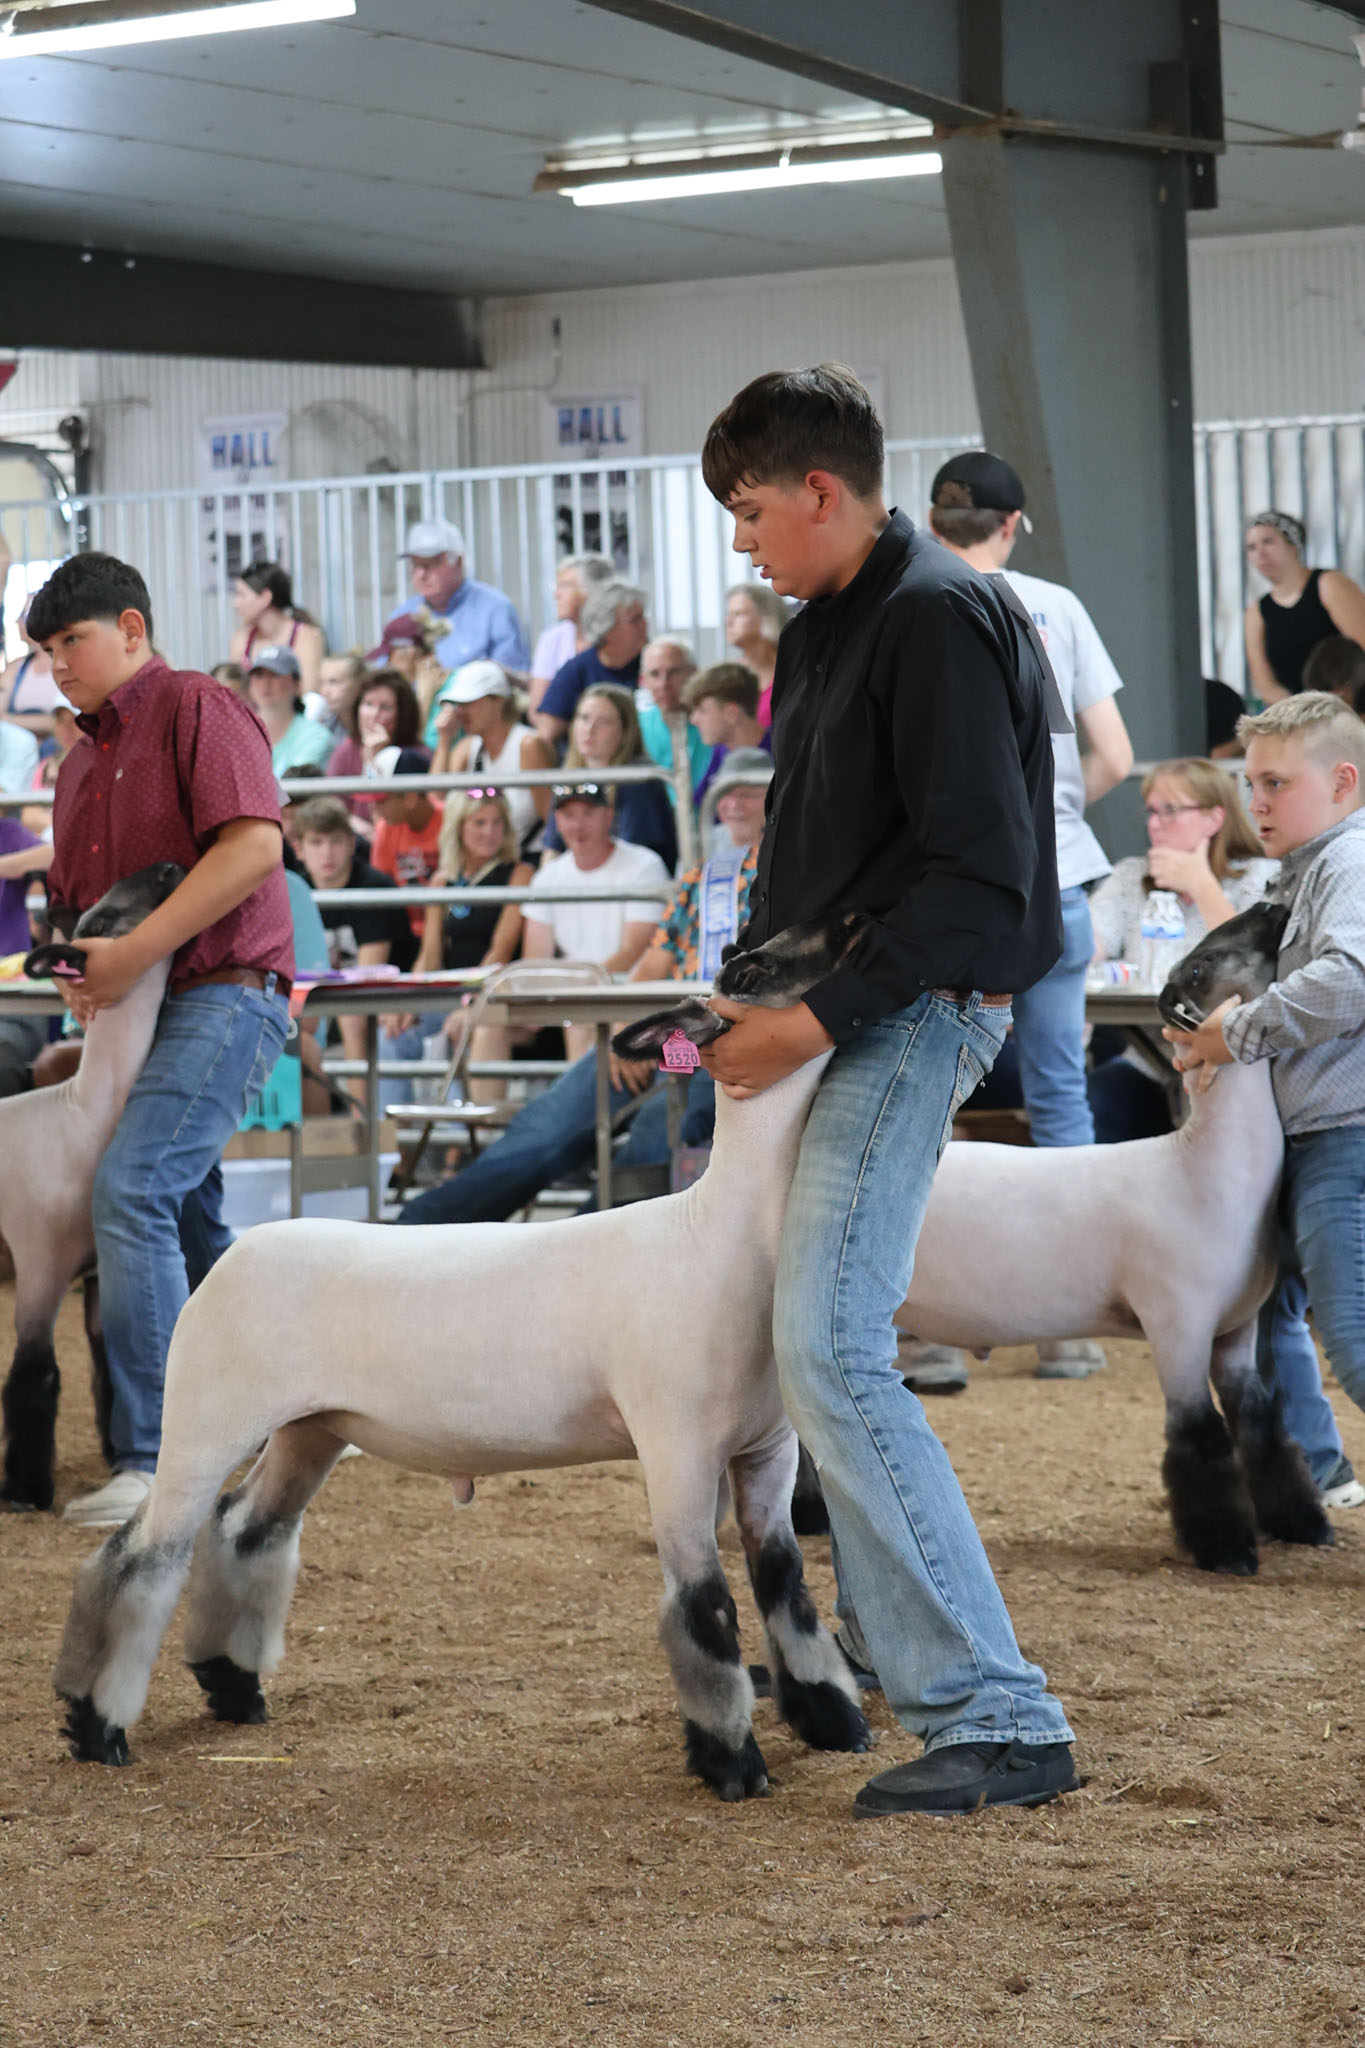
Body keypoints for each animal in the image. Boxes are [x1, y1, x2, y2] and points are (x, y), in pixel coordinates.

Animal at [0, 863, 186, 1512]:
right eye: (101, 919)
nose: (170, 868)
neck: (83, 1115)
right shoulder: (39, 1264)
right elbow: (35, 1374)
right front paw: (25, 1490)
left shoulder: (100, 1268)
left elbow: (113, 1363)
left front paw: (118, 1453)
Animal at [53, 917, 874, 1799]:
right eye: (750, 968)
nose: (850, 925)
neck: (720, 1236)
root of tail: (234, 1255)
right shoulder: (677, 1448)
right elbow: (707, 1605)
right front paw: (732, 1762)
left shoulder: (766, 1451)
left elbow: (784, 1585)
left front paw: (832, 1720)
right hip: (207, 1418)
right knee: (140, 1559)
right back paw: (95, 1724)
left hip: (311, 1428)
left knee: (246, 1532)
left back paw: (233, 1688)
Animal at [897, 902, 1330, 1575]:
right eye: (1200, 965)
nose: (1268, 905)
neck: (1203, 1166)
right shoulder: (1177, 1323)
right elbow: (1199, 1438)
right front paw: (1227, 1551)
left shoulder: (1235, 1331)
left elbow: (1262, 1427)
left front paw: (1302, 1524)